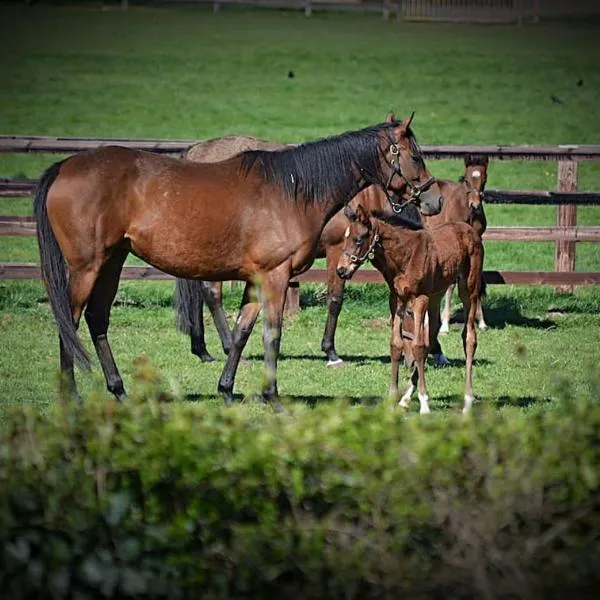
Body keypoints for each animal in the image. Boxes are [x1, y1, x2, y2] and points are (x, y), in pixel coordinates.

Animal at [34, 115, 446, 410]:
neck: (292, 189)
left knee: (97, 319)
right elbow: (272, 334)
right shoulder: (276, 277)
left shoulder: (256, 280)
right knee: (69, 321)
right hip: (87, 267)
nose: (434, 200)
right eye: (415, 156)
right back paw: (72, 395)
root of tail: (65, 166)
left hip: (113, 261)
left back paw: (119, 390)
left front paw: (227, 390)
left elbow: (242, 332)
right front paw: (273, 397)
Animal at [336, 204, 486, 414]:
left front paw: (424, 403)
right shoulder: (396, 299)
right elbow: (396, 345)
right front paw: (392, 398)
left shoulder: (419, 299)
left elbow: (417, 346)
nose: (341, 270)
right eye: (344, 238)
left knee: (469, 338)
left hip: (468, 288)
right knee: (432, 333)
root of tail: (470, 230)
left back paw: (467, 401)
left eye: (358, 240)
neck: (404, 256)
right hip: (436, 293)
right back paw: (406, 398)